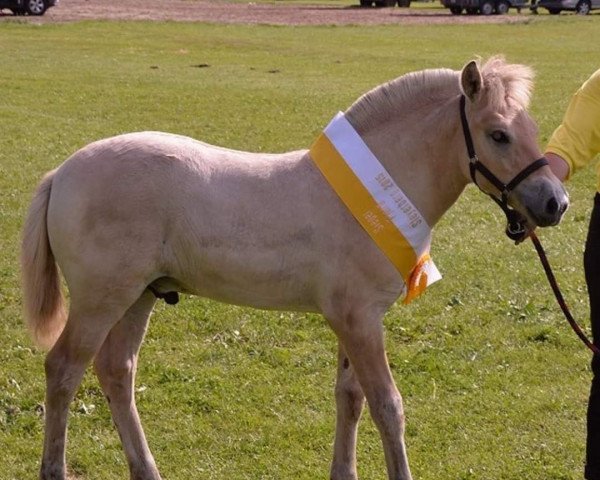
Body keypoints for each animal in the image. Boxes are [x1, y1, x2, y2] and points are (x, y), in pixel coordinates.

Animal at [22, 57, 568, 480]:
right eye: (498, 135)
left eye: (532, 129)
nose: (555, 203)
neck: (371, 192)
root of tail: (63, 172)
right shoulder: (358, 320)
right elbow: (387, 406)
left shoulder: (354, 321)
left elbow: (350, 397)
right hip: (102, 299)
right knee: (63, 369)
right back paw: (55, 469)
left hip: (138, 297)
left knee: (117, 372)